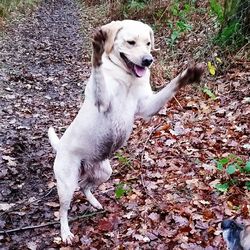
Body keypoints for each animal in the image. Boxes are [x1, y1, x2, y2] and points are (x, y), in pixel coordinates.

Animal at [48, 20, 203, 244]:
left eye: (148, 43)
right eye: (131, 42)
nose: (148, 61)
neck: (127, 78)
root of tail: (60, 146)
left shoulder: (147, 107)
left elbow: (170, 87)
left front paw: (187, 76)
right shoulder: (103, 101)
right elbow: (98, 70)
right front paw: (97, 50)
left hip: (104, 172)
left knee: (85, 185)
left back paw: (94, 203)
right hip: (66, 182)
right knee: (63, 209)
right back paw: (65, 233)